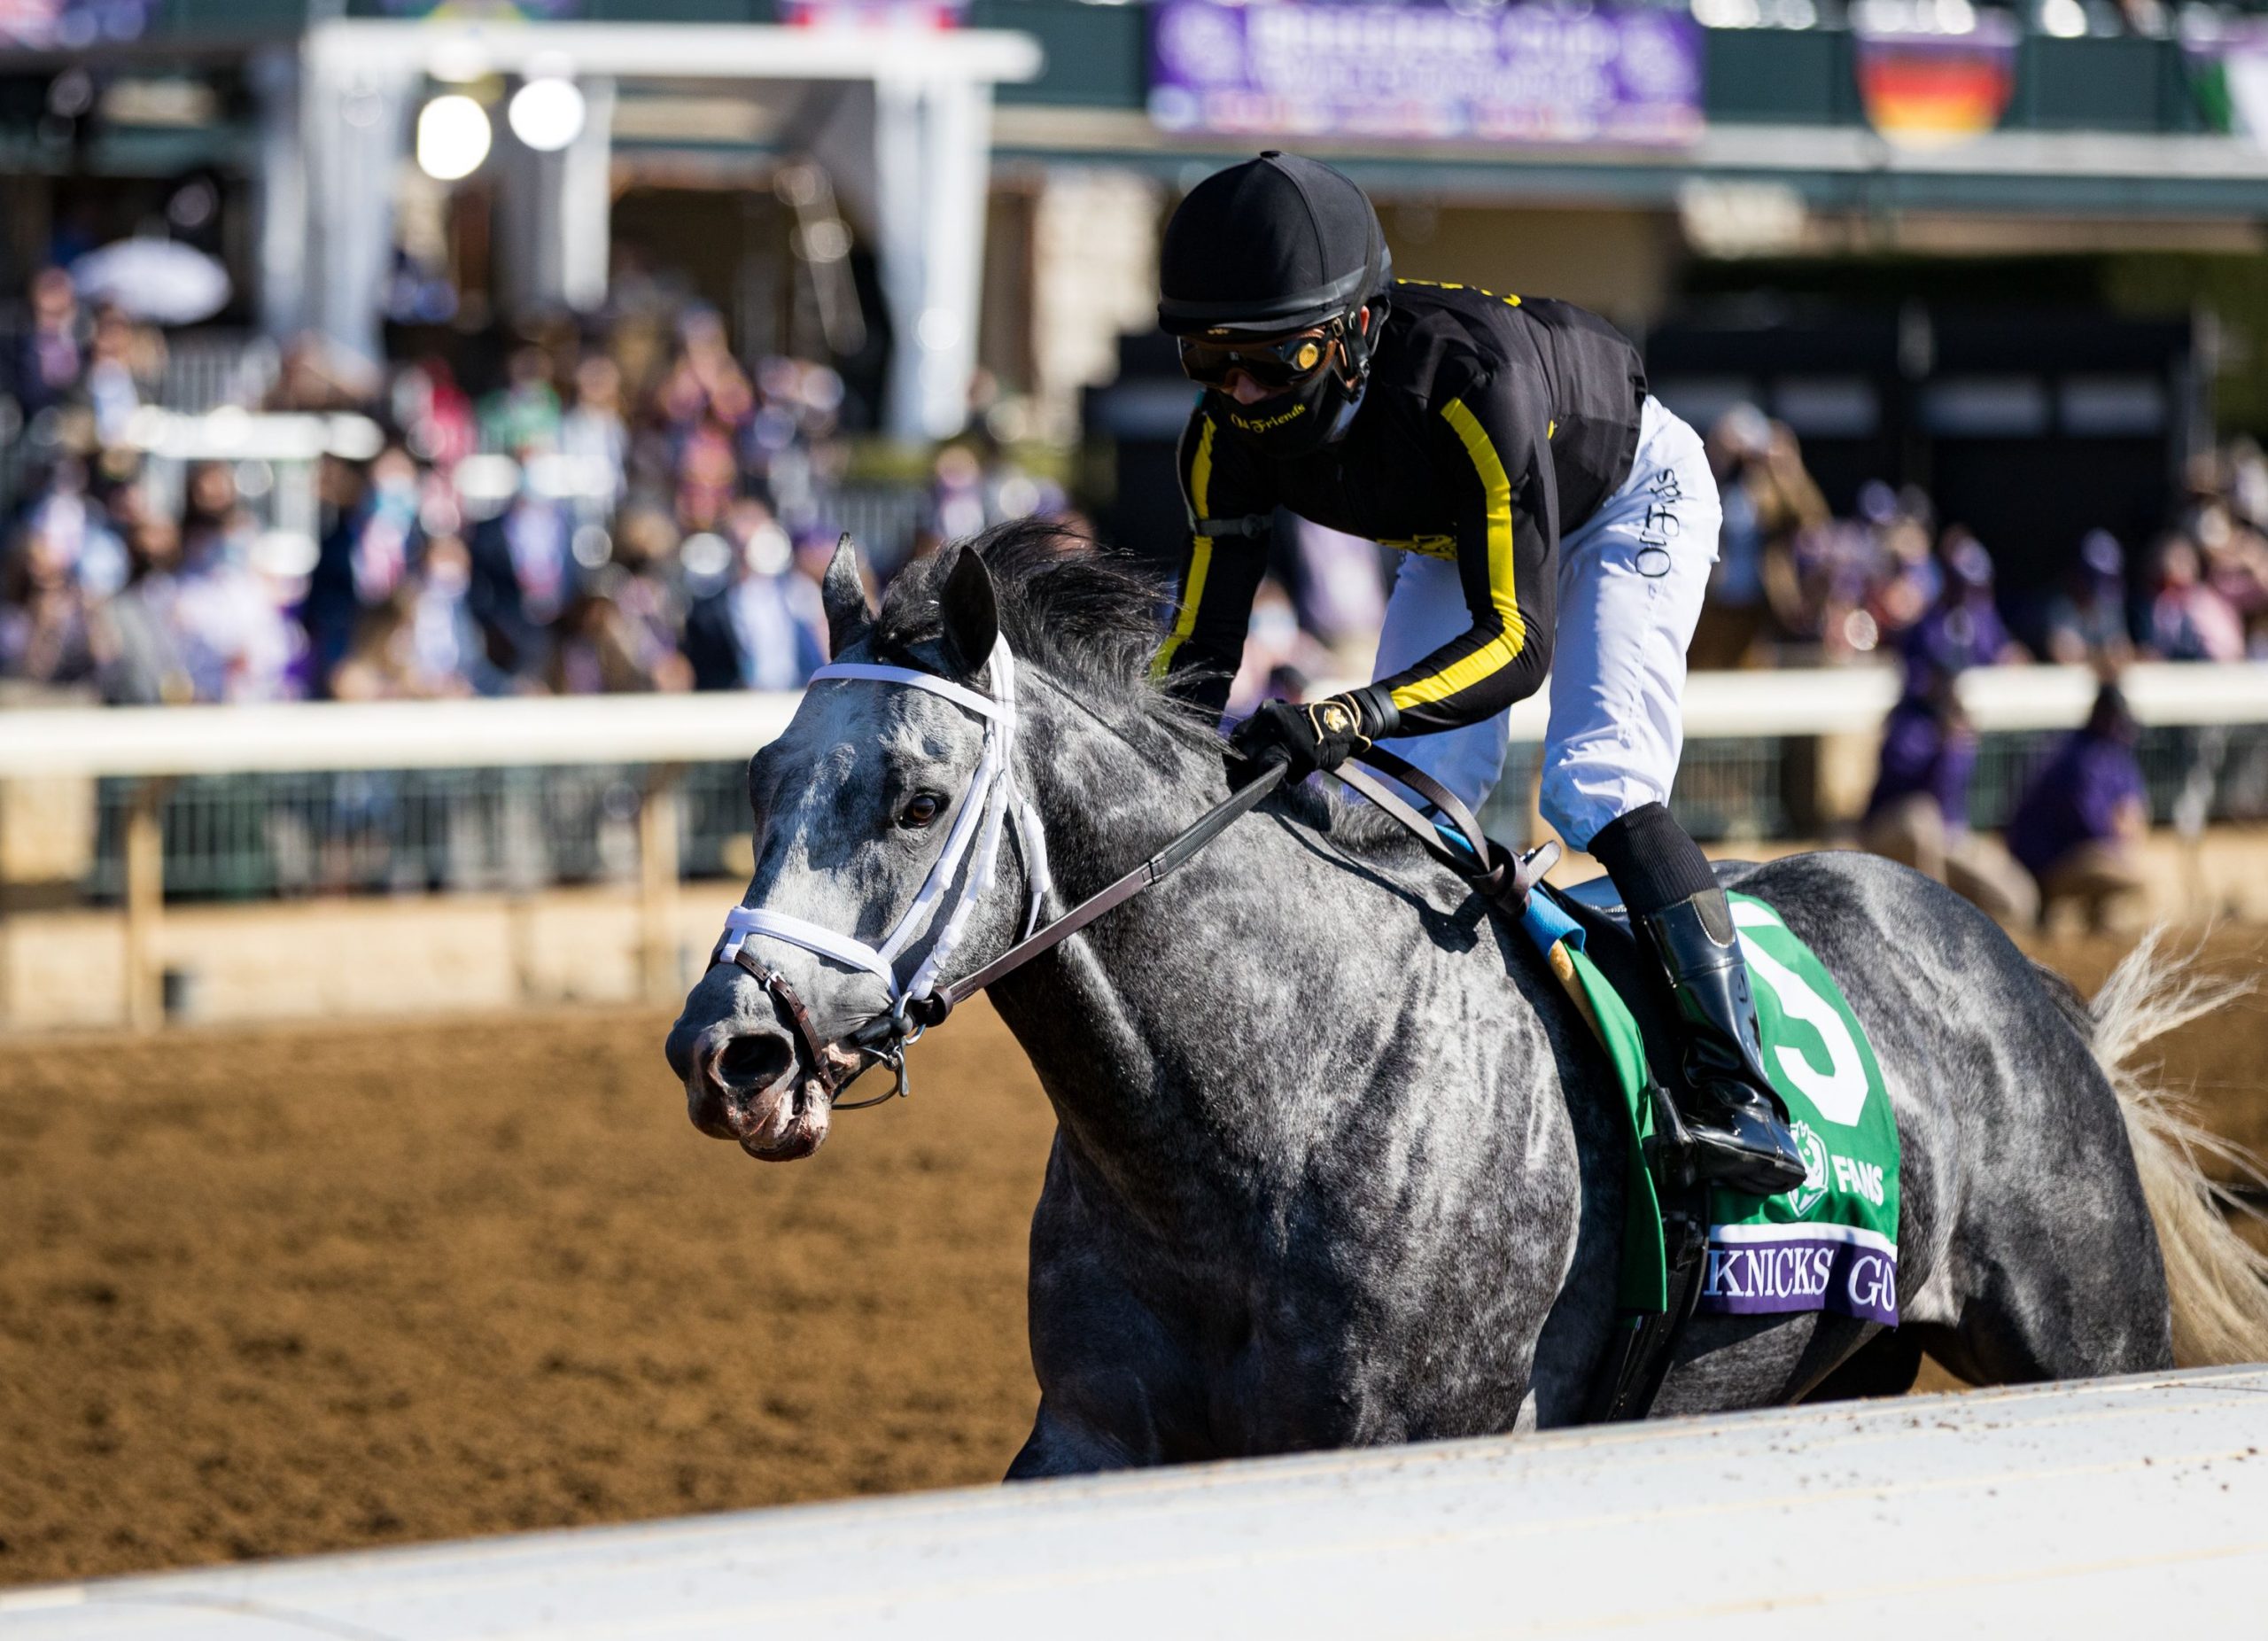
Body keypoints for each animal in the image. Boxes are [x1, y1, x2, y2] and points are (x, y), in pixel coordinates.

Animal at [665, 520, 2268, 1476]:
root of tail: (2023, 979)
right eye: (758, 779)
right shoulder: (1095, 1437)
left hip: (2080, 1338)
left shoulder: (1409, 1430)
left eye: (918, 798)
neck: (1253, 1122)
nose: (728, 1048)